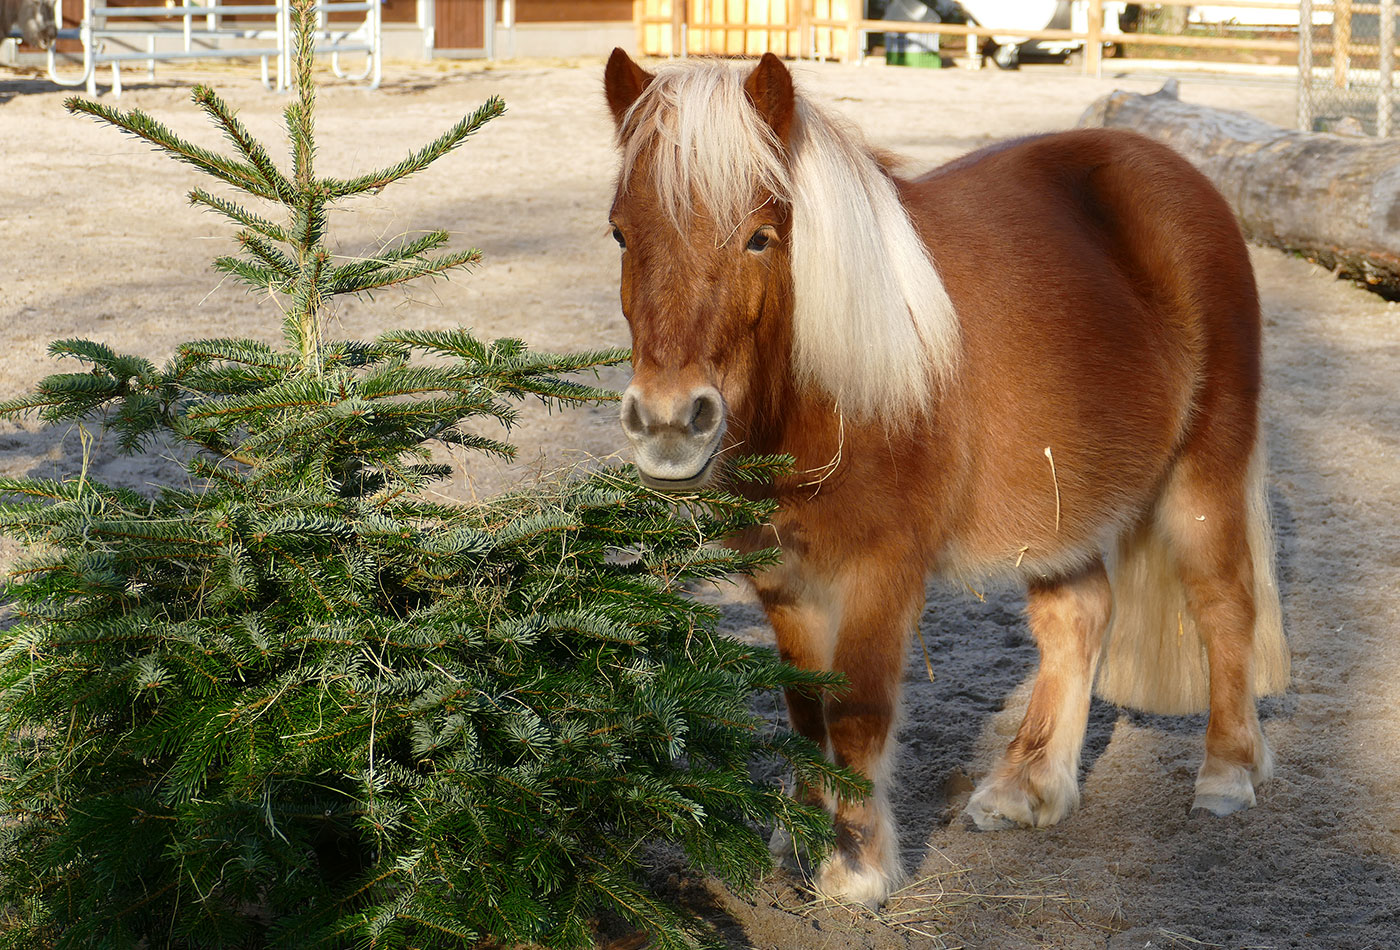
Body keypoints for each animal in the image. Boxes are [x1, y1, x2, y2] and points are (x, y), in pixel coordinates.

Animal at [602, 50, 1288, 906]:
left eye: (761, 236)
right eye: (621, 233)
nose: (668, 423)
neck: (831, 394)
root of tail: (1174, 171)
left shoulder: (883, 567)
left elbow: (857, 712)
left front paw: (855, 868)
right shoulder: (783, 575)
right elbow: (804, 709)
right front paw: (798, 841)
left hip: (1204, 473)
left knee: (1225, 604)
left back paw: (1227, 774)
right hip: (1061, 509)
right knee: (1078, 618)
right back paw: (1027, 787)